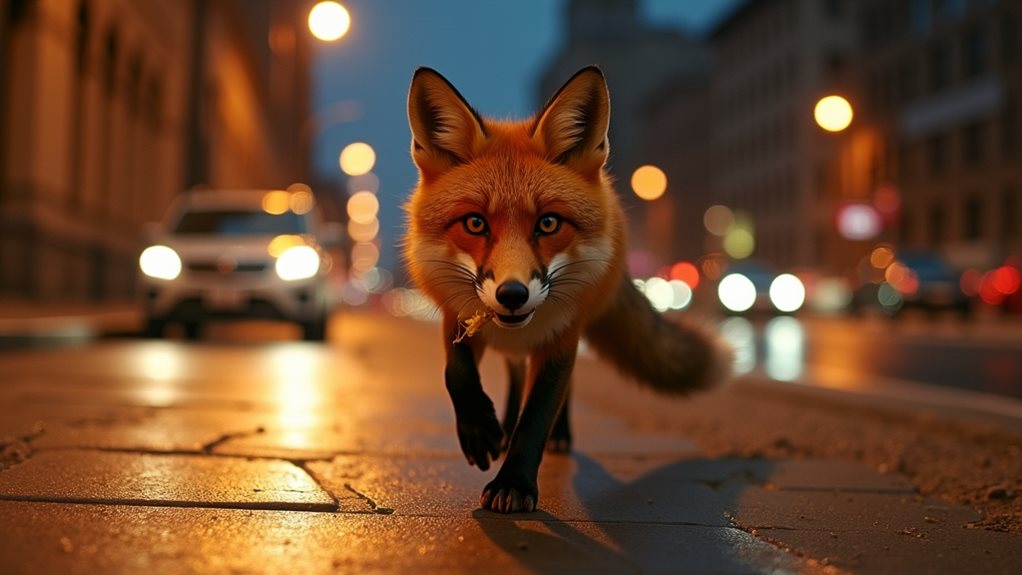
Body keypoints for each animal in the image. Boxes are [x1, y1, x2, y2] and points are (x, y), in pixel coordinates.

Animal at [403, 66, 732, 513]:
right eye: (474, 223)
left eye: (548, 223)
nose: (512, 295)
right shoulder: (458, 315)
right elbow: (456, 372)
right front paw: (480, 430)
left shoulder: (561, 337)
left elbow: (538, 414)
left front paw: (514, 483)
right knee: (514, 372)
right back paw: (502, 424)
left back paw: (556, 435)